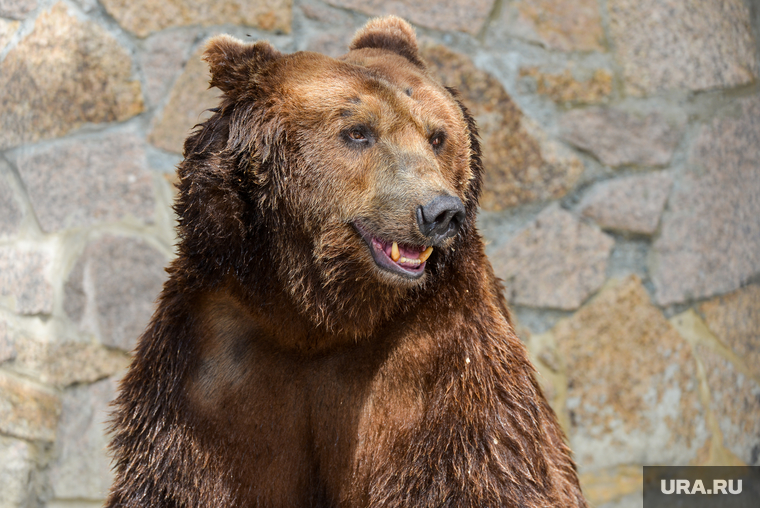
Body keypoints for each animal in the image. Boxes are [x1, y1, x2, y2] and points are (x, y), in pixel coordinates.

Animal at [104, 15, 584, 508]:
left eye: (437, 136)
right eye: (357, 132)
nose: (440, 211)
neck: (319, 313)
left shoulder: (442, 366)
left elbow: (477, 468)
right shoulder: (213, 365)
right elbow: (187, 477)